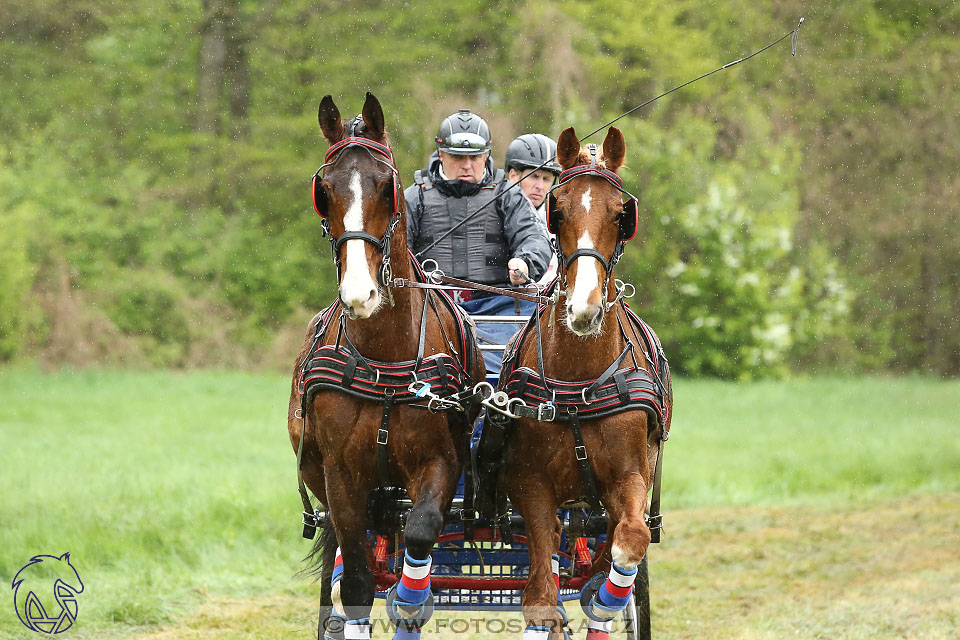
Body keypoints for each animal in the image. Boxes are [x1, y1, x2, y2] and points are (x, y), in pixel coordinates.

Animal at [286, 92, 484, 636]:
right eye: (324, 190)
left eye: (385, 185)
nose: (360, 294)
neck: (384, 358)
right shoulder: (341, 479)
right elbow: (355, 580)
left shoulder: (440, 463)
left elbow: (419, 533)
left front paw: (412, 600)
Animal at [502, 127, 676, 636]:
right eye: (556, 210)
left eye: (621, 215)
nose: (584, 308)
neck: (578, 382)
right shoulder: (530, 484)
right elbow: (541, 592)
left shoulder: (629, 478)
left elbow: (628, 542)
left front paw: (603, 602)